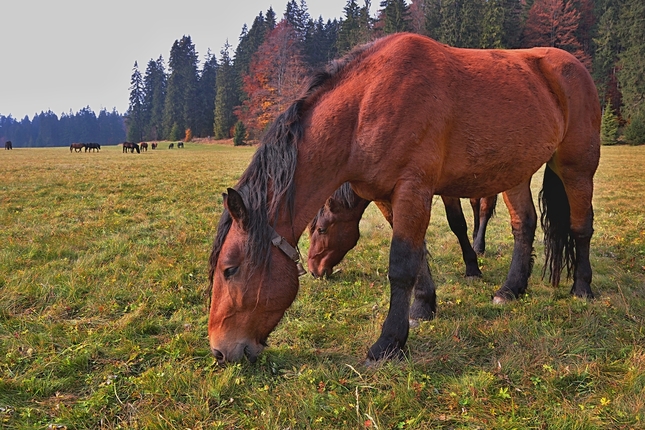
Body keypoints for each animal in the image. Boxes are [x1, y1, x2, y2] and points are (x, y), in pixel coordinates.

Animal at [306, 182, 498, 278]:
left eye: (322, 230)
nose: (313, 271)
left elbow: (457, 223)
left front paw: (472, 267)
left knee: (484, 209)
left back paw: (478, 245)